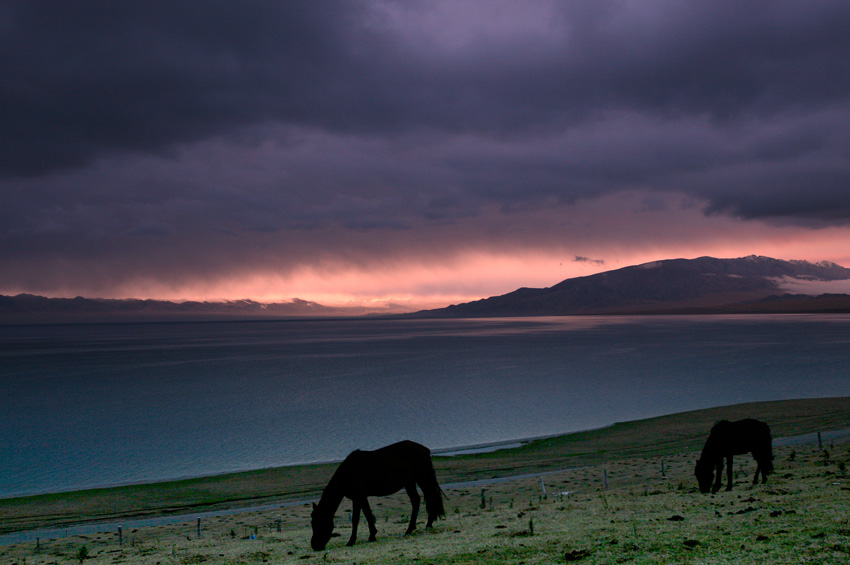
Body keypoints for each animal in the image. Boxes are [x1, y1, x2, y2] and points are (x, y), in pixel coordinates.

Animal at [310, 438, 444, 548]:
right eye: (312, 523)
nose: (315, 546)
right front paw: (372, 535)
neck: (348, 473)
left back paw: (426, 525)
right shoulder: (362, 498)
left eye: (319, 523)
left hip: (422, 478)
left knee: (430, 497)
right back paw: (412, 528)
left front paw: (351, 541)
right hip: (409, 482)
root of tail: (425, 449)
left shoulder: (357, 498)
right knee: (416, 500)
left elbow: (355, 519)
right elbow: (368, 515)